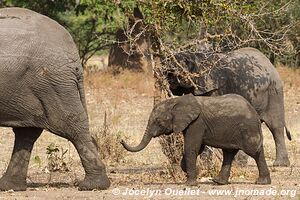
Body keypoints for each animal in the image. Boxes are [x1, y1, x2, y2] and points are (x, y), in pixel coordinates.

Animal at [120, 94, 270, 185]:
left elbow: (191, 147)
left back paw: (261, 182)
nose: (121, 140)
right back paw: (218, 182)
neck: (175, 102)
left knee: (254, 151)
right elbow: (197, 148)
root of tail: (255, 113)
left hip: (247, 128)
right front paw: (192, 172)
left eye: (158, 121)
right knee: (229, 153)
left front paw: (190, 184)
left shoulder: (196, 123)